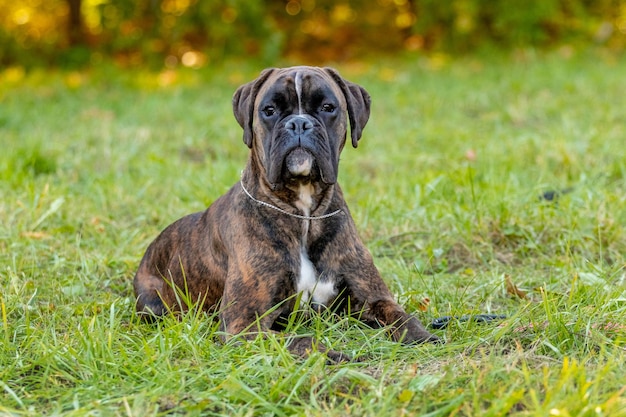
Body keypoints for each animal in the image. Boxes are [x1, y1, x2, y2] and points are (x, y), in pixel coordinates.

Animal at [133, 66, 438, 360]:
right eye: (269, 110)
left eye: (327, 107)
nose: (299, 123)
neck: (304, 213)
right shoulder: (244, 325)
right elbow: (301, 340)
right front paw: (335, 355)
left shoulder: (374, 298)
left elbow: (403, 318)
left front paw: (425, 337)